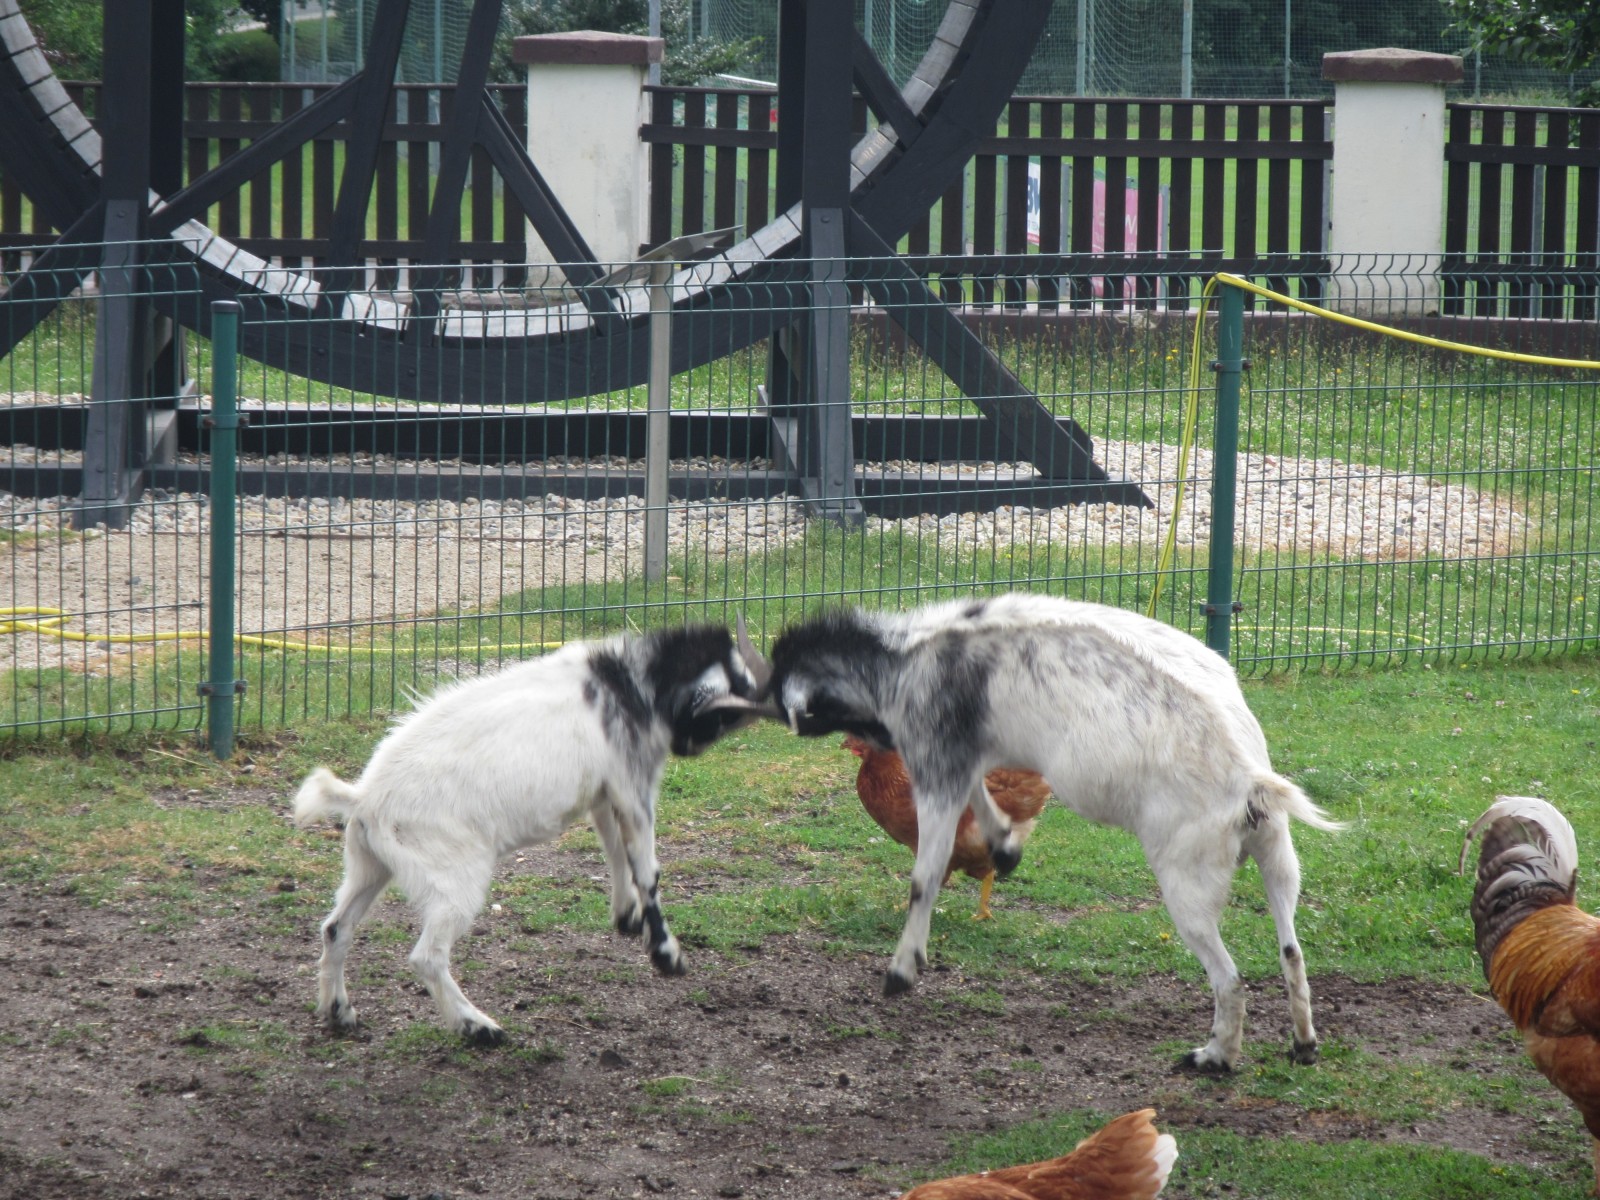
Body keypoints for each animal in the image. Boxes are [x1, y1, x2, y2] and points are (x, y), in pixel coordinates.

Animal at [292, 624, 762, 1045]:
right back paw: (477, 1027)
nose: (691, 746)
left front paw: (626, 916)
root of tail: (364, 798)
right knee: (427, 957)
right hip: (452, 878)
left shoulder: (603, 791)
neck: (626, 684)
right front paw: (667, 954)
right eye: (731, 699)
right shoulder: (632, 784)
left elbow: (614, 849)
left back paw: (339, 1011)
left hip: (368, 865)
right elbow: (647, 869)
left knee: (336, 928)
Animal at [706, 594, 1341, 1071]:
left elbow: (924, 876)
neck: (904, 658)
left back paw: (1214, 1057)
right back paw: (1303, 1044)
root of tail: (1246, 775)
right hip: (1277, 854)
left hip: (1188, 877)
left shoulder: (933, 761)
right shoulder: (966, 756)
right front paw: (1005, 848)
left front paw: (901, 971)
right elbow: (982, 800)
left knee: (1230, 979)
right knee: (1290, 948)